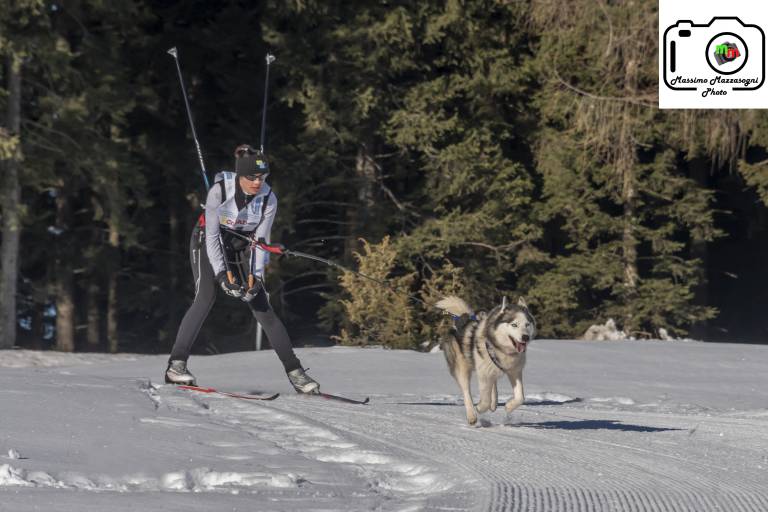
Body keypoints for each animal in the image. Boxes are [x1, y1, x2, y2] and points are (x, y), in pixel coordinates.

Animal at [436, 296, 536, 424]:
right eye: (514, 325)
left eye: (527, 324)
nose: (525, 337)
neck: (500, 349)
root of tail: (461, 320)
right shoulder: (483, 373)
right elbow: (485, 398)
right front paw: (480, 408)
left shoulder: (515, 371)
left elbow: (520, 397)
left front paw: (509, 406)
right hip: (462, 369)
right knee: (466, 392)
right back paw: (472, 415)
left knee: (492, 383)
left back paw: (494, 403)